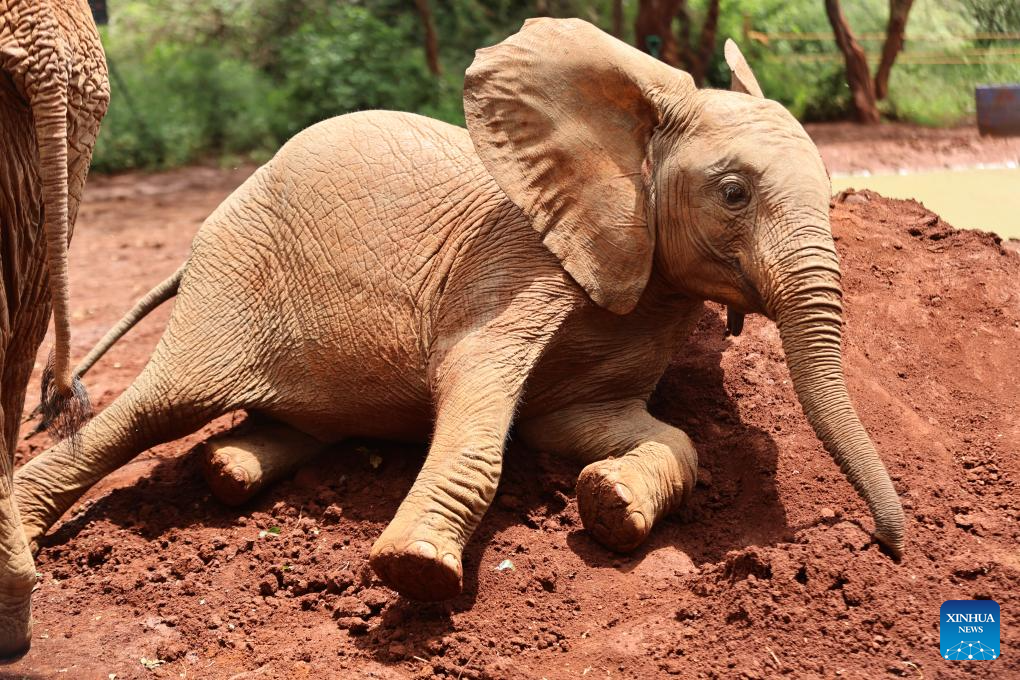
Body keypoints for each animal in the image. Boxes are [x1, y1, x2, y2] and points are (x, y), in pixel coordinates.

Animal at [13, 19, 903, 605]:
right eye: (733, 193)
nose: (888, 547)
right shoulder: (511, 270)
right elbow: (475, 394)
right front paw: (416, 574)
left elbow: (625, 430)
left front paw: (611, 506)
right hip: (229, 283)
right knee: (154, 408)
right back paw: (20, 537)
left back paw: (229, 473)